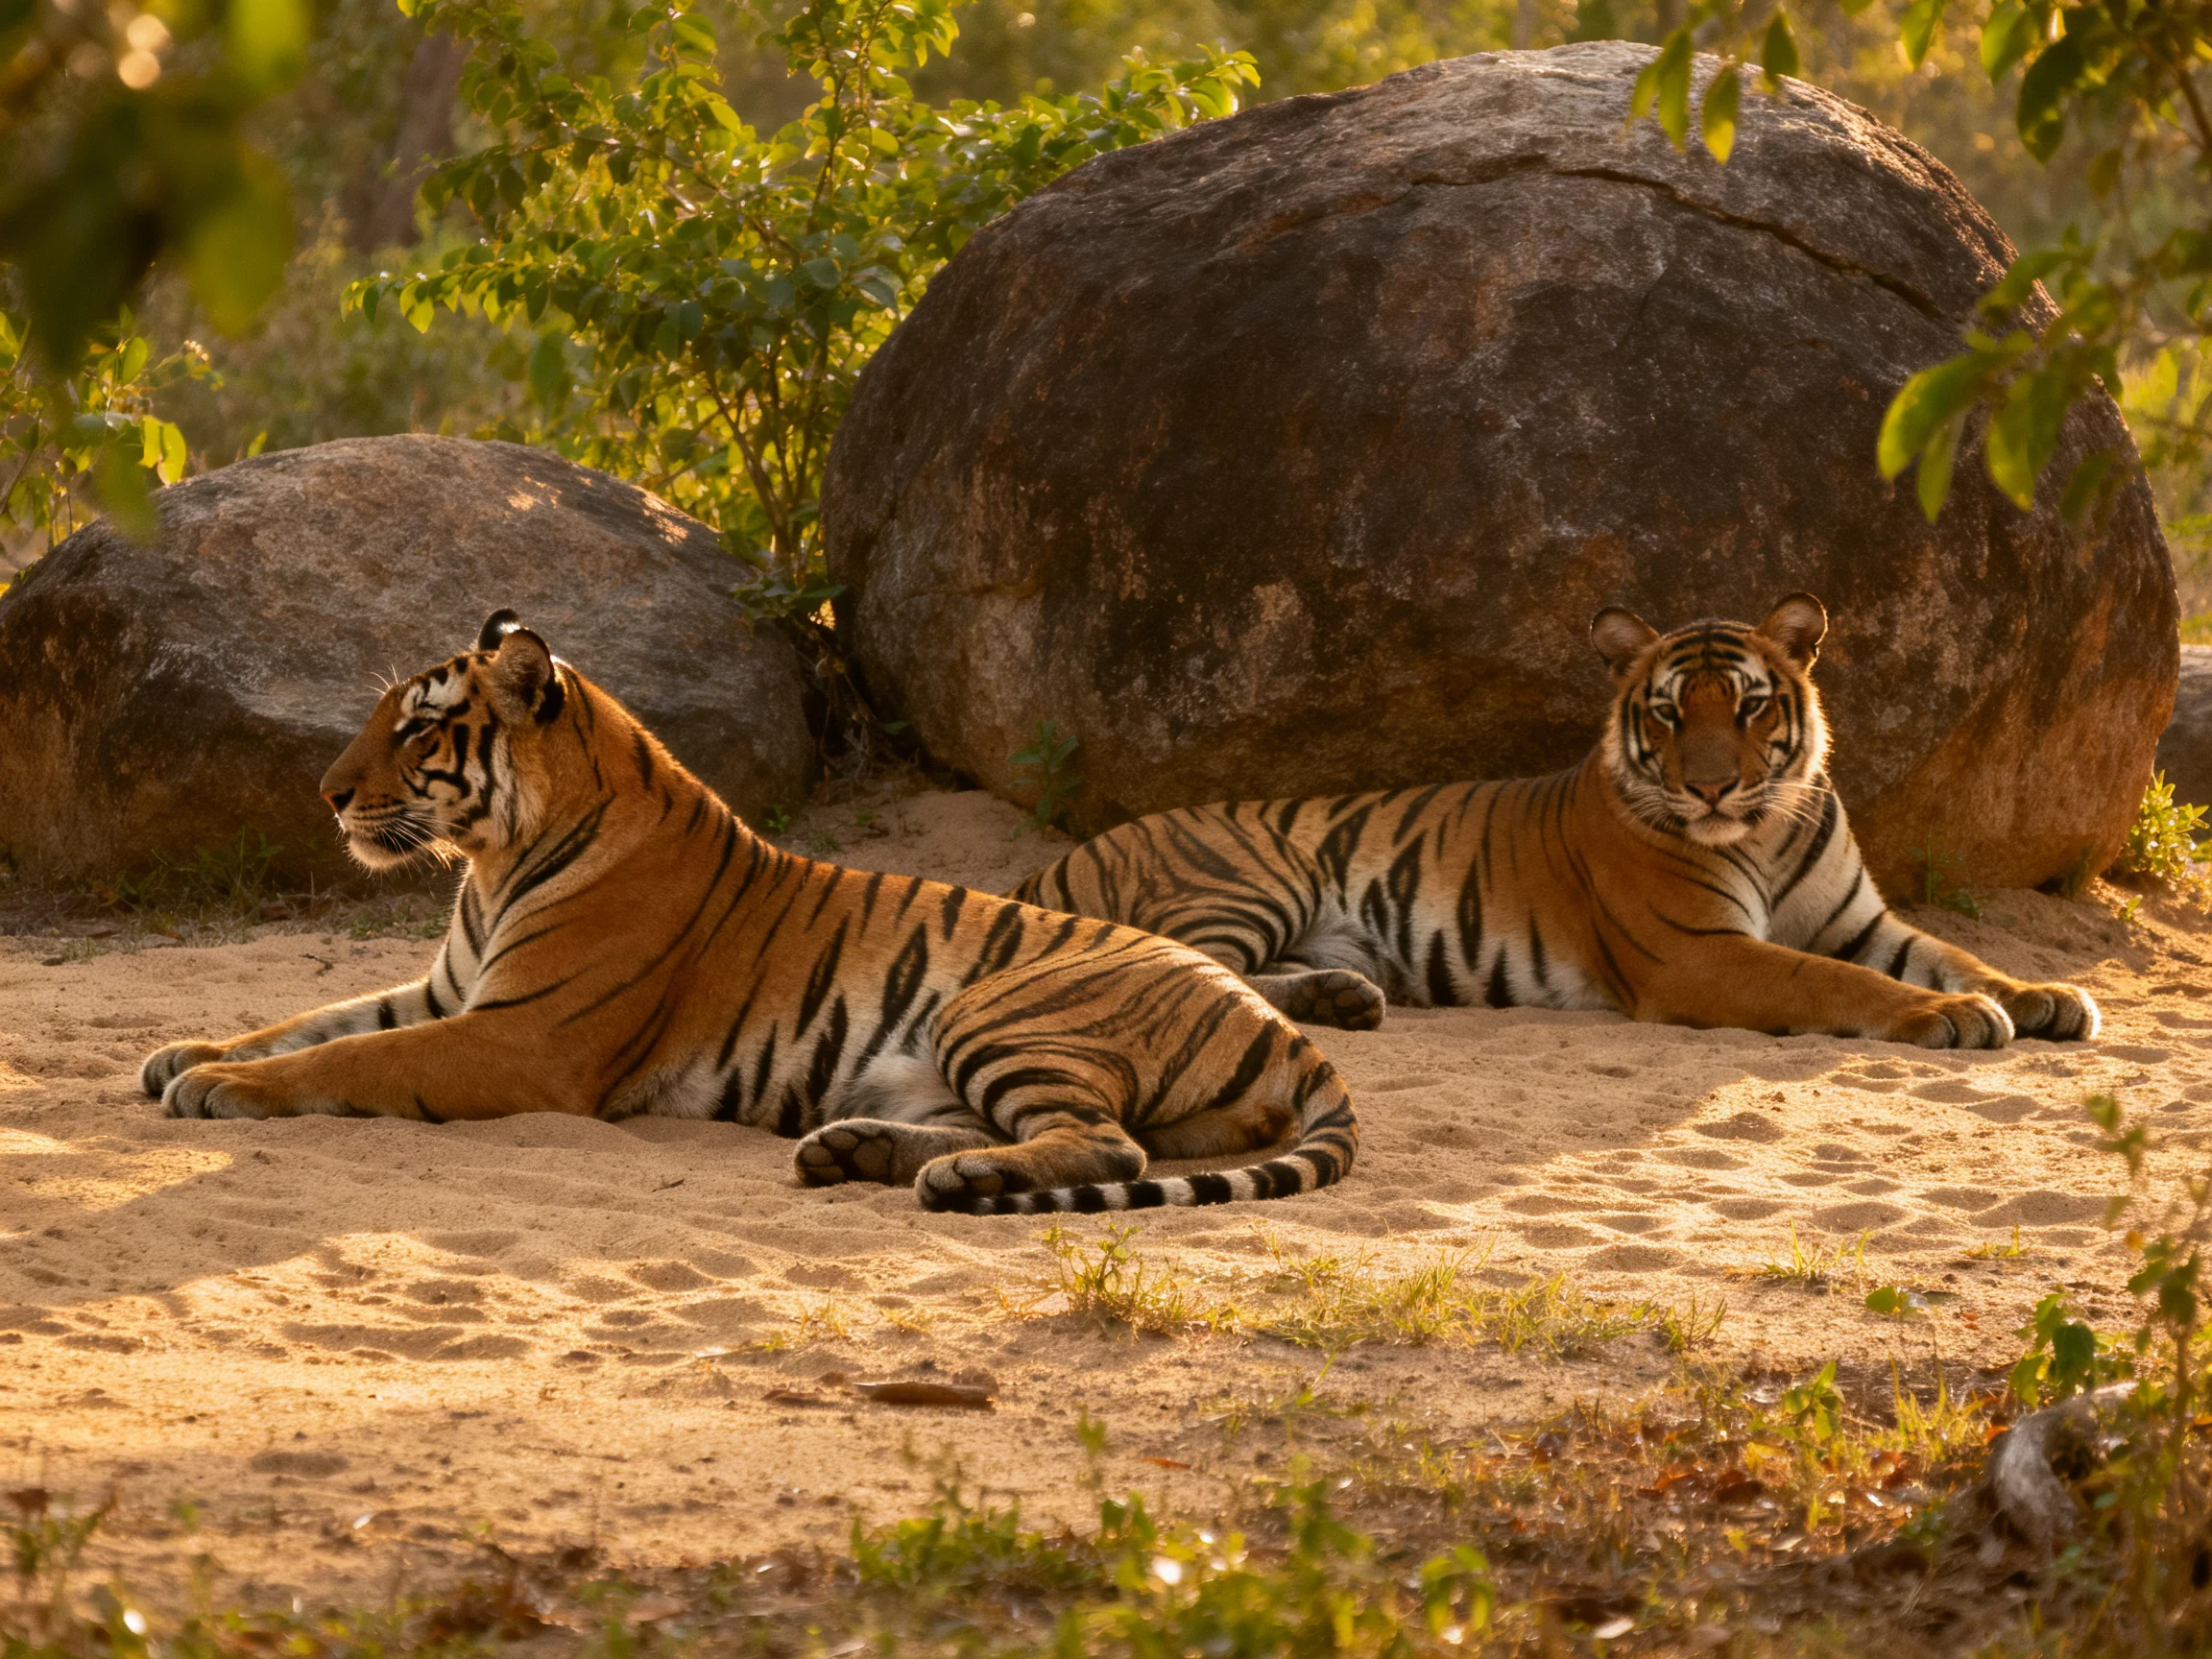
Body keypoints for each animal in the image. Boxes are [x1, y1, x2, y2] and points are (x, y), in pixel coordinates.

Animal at [140, 612, 1358, 1215]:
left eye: (418, 728)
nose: (327, 793)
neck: (489, 863)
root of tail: (1280, 1027)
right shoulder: (448, 993)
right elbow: (313, 1022)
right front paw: (183, 1054)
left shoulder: (522, 1037)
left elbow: (347, 1060)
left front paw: (219, 1088)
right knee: (1038, 1134)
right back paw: (868, 1153)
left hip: (998, 1013)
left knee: (1106, 1144)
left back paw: (937, 1178)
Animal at [1013, 595, 2100, 1050]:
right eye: (1670, 713)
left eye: (1750, 707)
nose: (1713, 789)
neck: (1764, 827)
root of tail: (1053, 864)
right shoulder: (1696, 953)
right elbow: (1831, 981)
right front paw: (1950, 1018)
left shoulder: (1862, 922)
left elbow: (1959, 955)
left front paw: (2043, 997)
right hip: (1247, 876)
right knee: (1188, 967)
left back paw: (1347, 995)